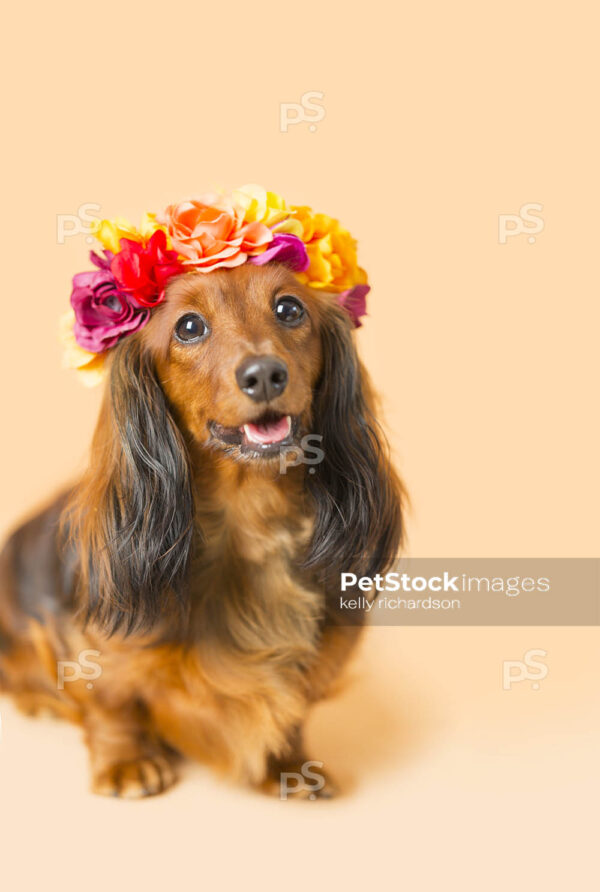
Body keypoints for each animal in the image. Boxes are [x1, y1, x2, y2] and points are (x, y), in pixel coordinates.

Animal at [1, 262, 404, 796]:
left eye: (290, 308)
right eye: (189, 327)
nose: (264, 375)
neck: (249, 521)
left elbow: (295, 707)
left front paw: (291, 764)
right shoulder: (90, 642)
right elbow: (112, 701)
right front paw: (126, 761)